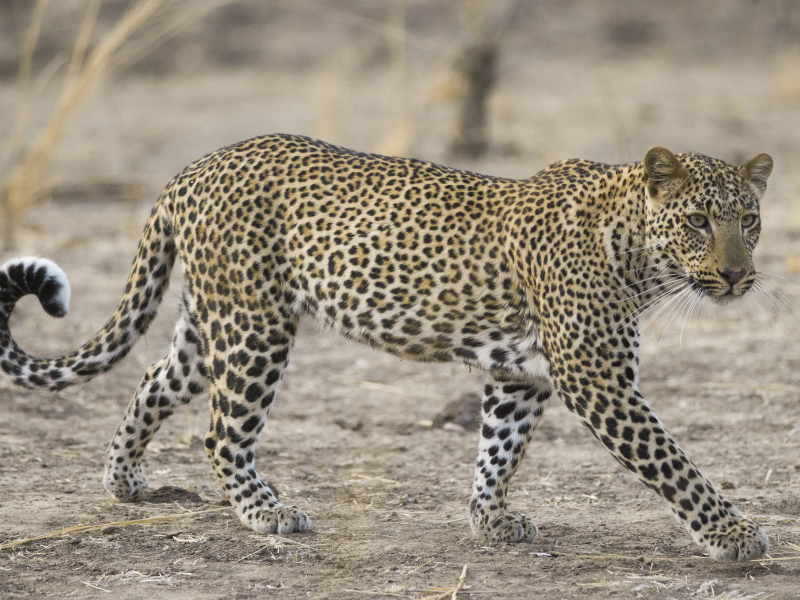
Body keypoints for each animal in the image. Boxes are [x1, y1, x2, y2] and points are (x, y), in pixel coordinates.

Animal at [0, 136, 776, 564]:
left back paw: (124, 480)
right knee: (222, 432)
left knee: (153, 384)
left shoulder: (520, 376)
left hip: (212, 320)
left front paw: (489, 517)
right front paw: (733, 534)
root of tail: (193, 169)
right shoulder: (598, 379)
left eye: (750, 220)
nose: (739, 275)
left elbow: (499, 447)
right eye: (698, 221)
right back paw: (265, 512)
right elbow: (673, 464)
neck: (640, 256)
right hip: (255, 327)